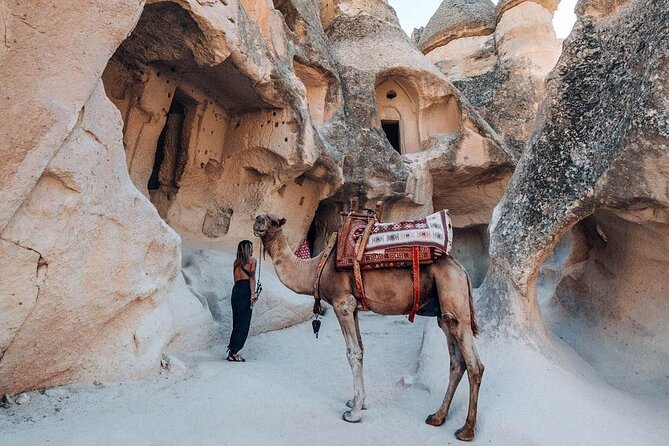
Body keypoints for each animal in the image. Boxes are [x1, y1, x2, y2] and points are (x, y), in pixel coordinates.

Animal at [253, 214, 482, 440]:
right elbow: (361, 350)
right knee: (456, 362)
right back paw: (437, 417)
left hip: (453, 297)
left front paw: (353, 413)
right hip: (444, 311)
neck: (316, 268)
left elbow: (352, 353)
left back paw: (466, 430)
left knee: (474, 365)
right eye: (262, 216)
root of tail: (462, 271)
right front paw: (358, 402)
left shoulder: (342, 303)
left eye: (274, 221)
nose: (258, 220)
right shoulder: (354, 307)